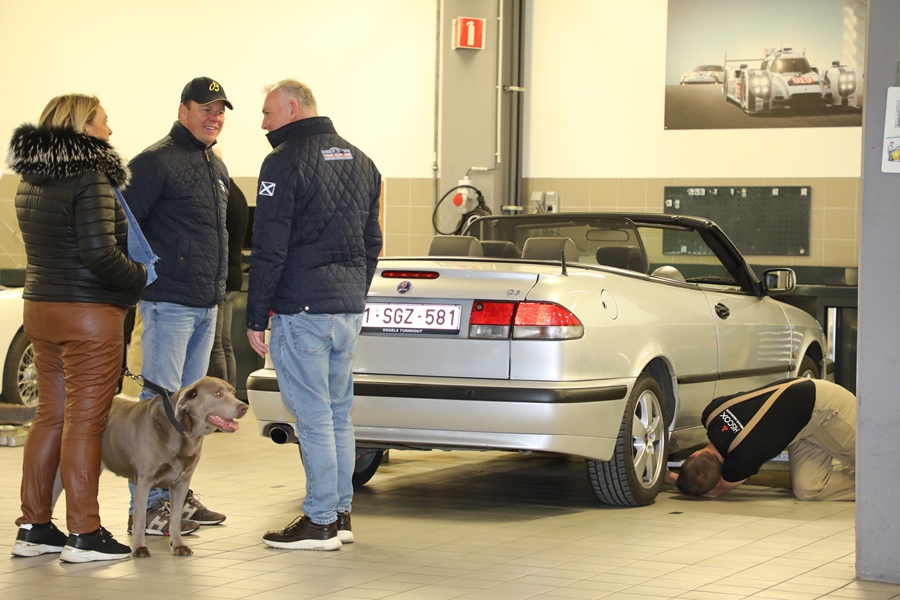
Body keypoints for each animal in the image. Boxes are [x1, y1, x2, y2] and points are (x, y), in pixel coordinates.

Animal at [94, 376, 247, 557]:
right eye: (218, 393)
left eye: (233, 392)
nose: (244, 407)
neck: (182, 432)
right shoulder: (144, 482)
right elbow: (139, 520)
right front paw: (139, 548)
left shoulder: (181, 482)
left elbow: (175, 518)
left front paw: (178, 546)